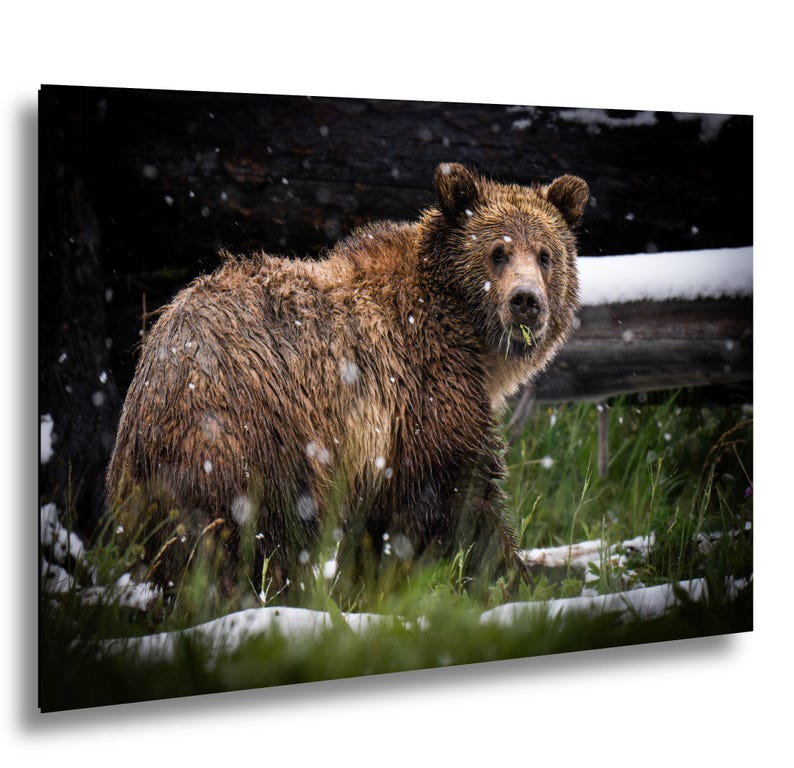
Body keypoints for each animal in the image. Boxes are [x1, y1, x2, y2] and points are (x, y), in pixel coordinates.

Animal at [105, 162, 588, 604]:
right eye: (497, 252)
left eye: (545, 254)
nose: (525, 301)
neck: (470, 337)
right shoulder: (424, 389)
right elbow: (463, 500)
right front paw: (515, 580)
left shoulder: (382, 447)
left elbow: (381, 531)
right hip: (259, 430)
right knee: (263, 538)